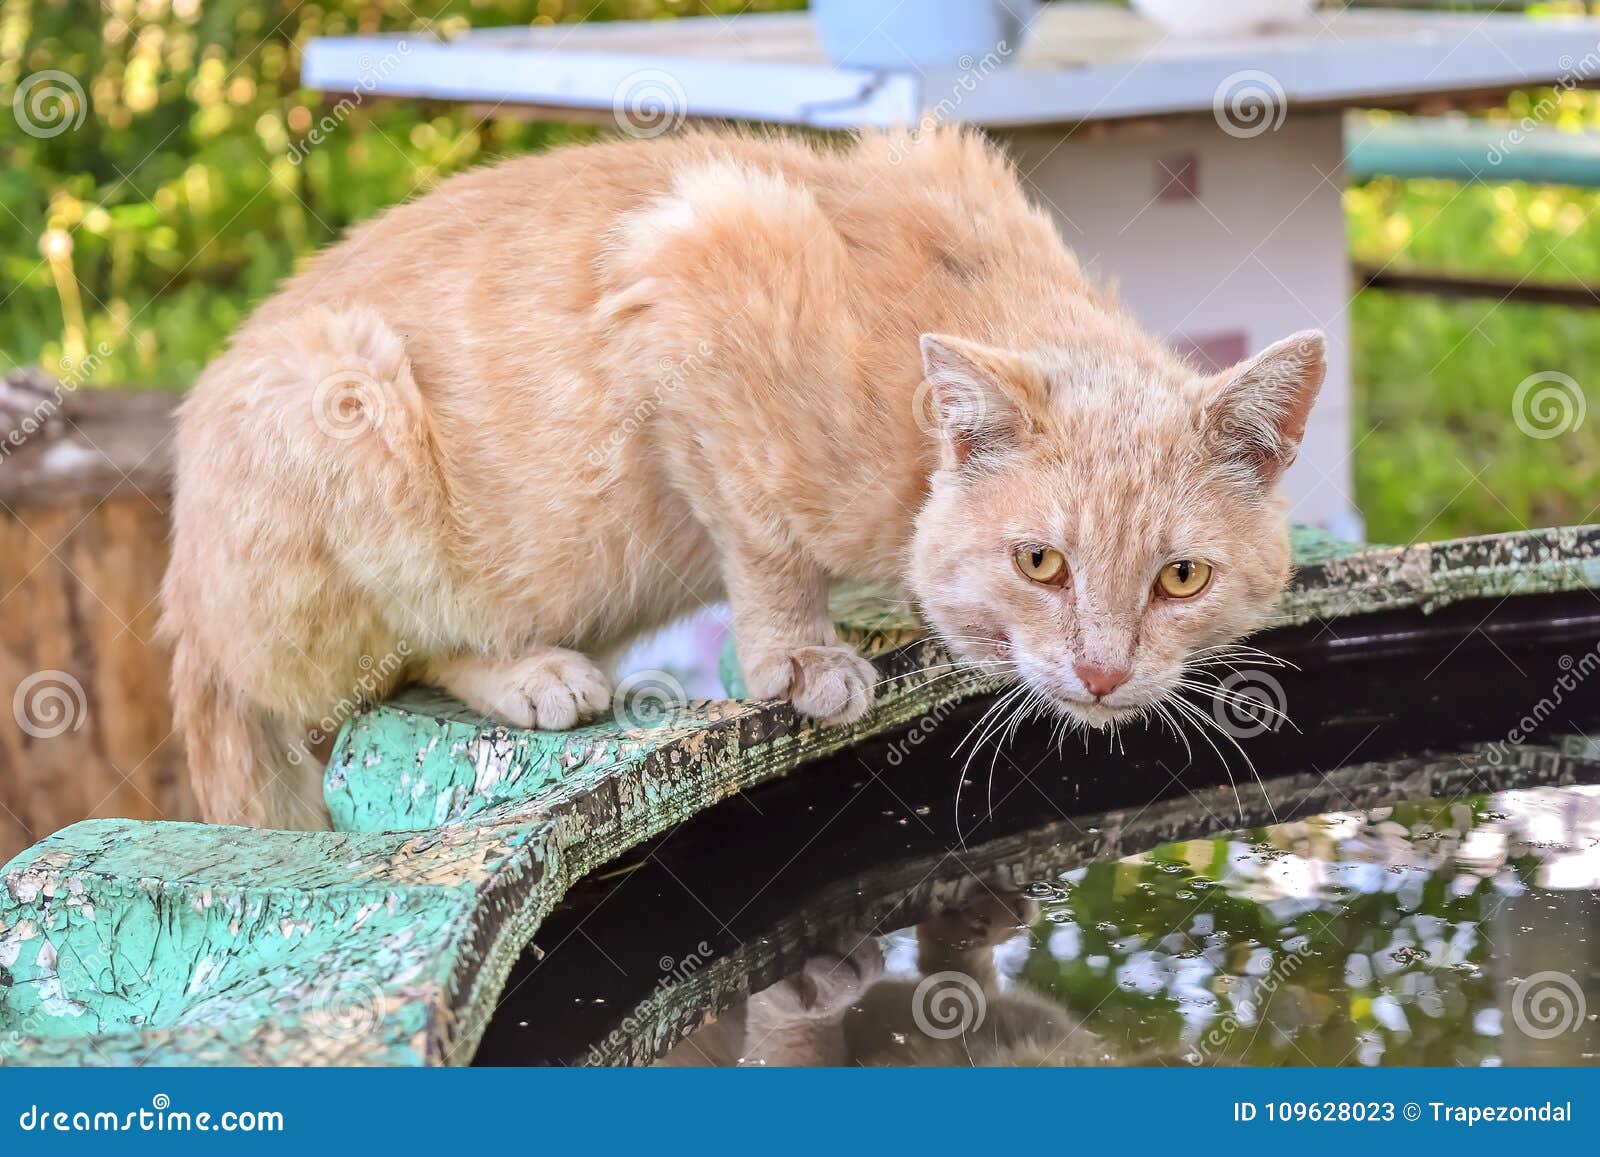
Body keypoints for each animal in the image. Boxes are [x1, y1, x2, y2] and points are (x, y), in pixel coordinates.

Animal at [165, 131, 1324, 825]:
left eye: (1181, 577)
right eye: (1040, 562)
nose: (1101, 673)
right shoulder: (693, 270)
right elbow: (764, 540)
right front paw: (802, 655)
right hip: (346, 394)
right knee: (405, 661)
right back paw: (532, 672)